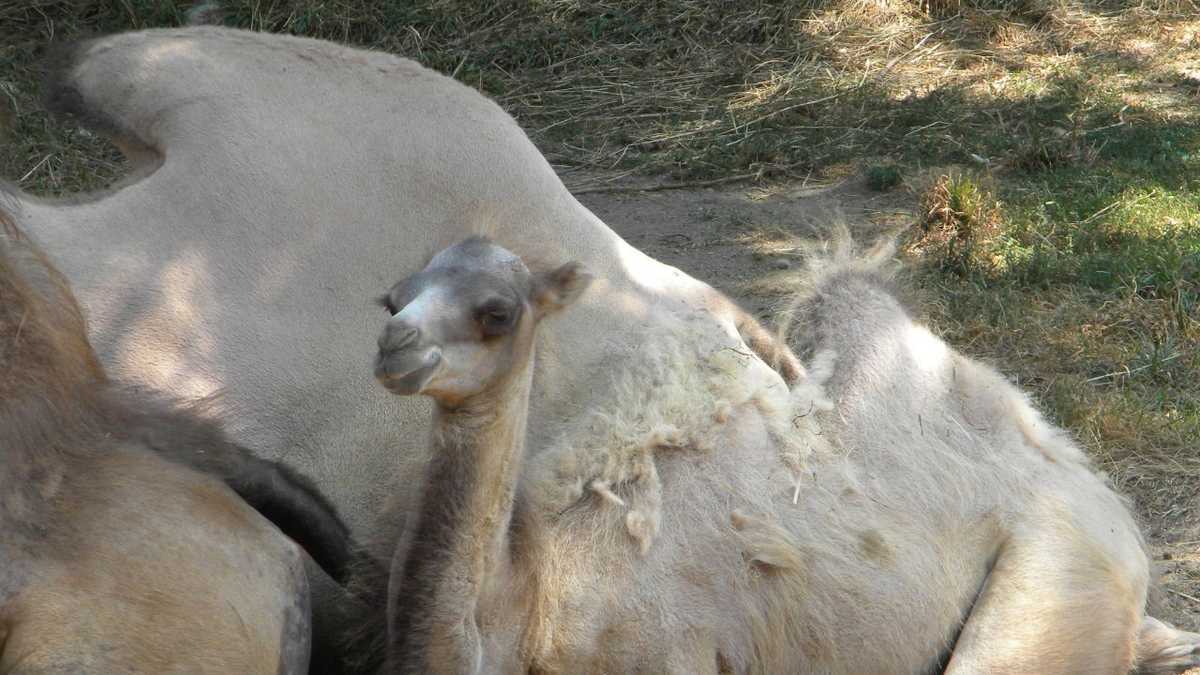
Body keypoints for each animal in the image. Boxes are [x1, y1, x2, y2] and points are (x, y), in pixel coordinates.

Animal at [363, 235, 1200, 673]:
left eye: (496, 312)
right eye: (393, 295)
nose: (394, 345)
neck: (533, 594)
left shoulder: (671, 653)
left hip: (1055, 574)